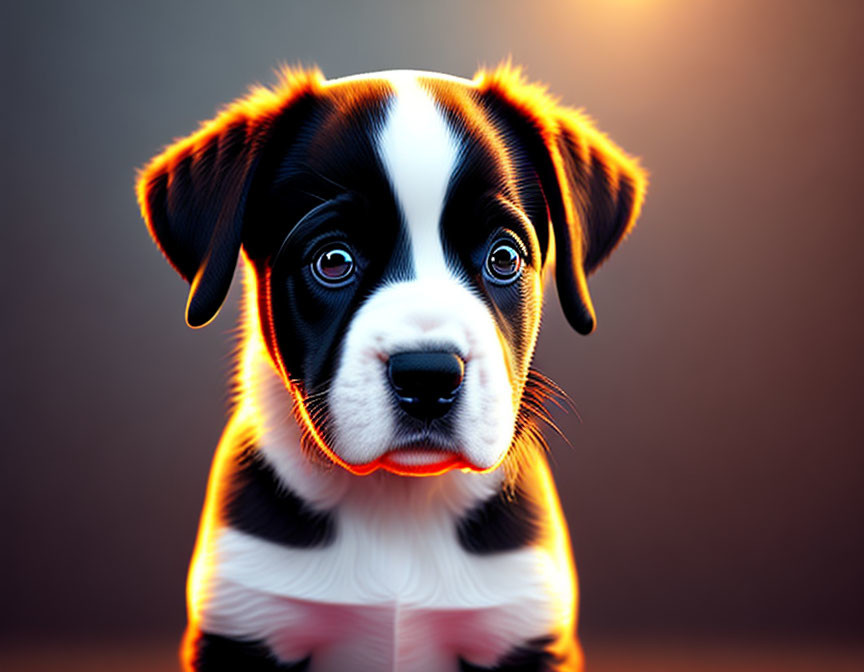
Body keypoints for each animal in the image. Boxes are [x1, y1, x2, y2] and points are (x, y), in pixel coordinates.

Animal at [135, 64, 644, 672]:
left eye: (504, 258)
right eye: (333, 261)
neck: (398, 504)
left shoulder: (523, 629)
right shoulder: (243, 624)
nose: (428, 376)